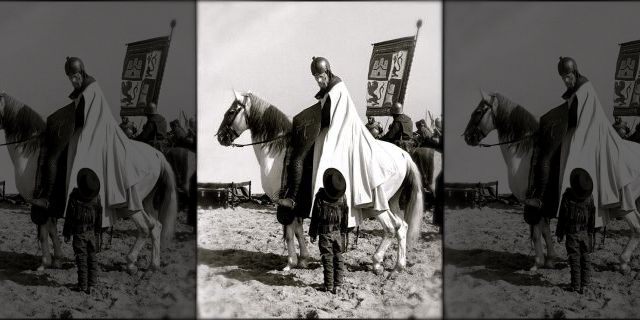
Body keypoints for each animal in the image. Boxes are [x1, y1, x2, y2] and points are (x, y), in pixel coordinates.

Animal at [0, 93, 178, 272]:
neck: (32, 154)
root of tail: (158, 155)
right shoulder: (51, 206)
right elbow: (51, 230)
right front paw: (57, 259)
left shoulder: (39, 204)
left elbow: (44, 232)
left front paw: (45, 262)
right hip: (146, 202)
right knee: (156, 227)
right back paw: (153, 265)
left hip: (130, 206)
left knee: (145, 228)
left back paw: (130, 262)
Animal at [216, 91, 430, 274]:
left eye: (231, 111)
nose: (220, 137)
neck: (278, 151)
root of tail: (403, 155)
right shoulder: (298, 204)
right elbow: (298, 230)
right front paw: (303, 259)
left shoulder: (284, 203)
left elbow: (289, 231)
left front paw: (290, 262)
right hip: (391, 202)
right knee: (402, 227)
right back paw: (398, 265)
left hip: (377, 206)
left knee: (391, 228)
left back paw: (377, 262)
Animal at [462, 91, 640, 274]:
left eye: (478, 111)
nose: (467, 136)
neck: (524, 153)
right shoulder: (544, 204)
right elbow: (545, 230)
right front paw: (550, 259)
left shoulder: (532, 203)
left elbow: (535, 232)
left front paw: (537, 262)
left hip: (623, 205)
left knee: (636, 229)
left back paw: (623, 262)